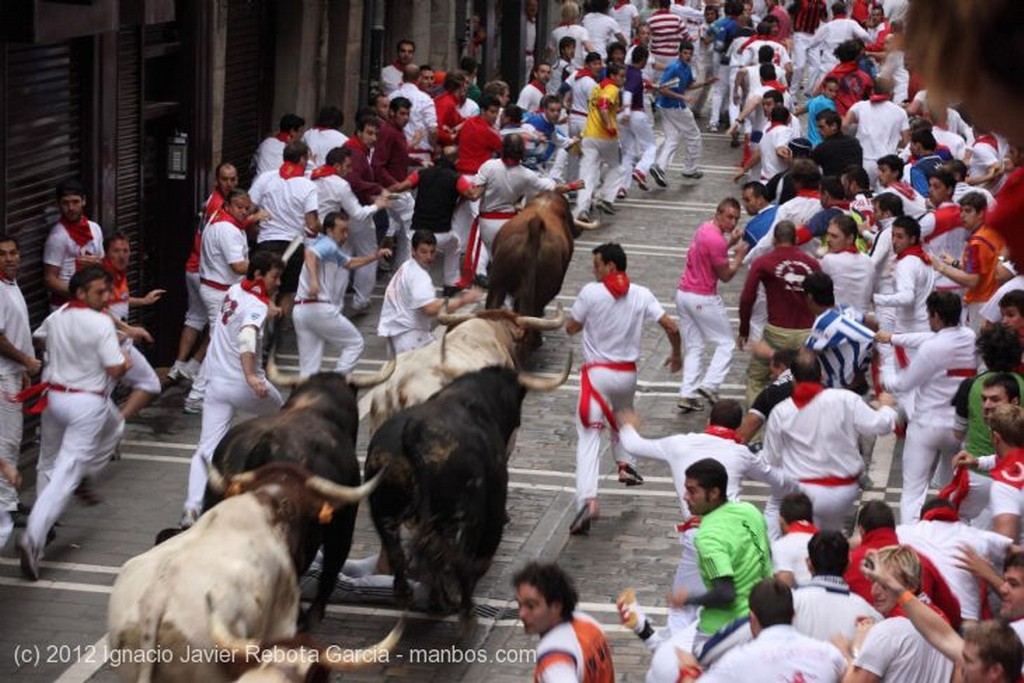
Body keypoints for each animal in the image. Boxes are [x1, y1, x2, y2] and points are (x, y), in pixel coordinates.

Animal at [364, 344, 573, 618]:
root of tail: (412, 433)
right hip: (462, 514)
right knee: (452, 556)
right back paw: (454, 604)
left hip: (383, 509)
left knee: (399, 552)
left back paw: (414, 595)